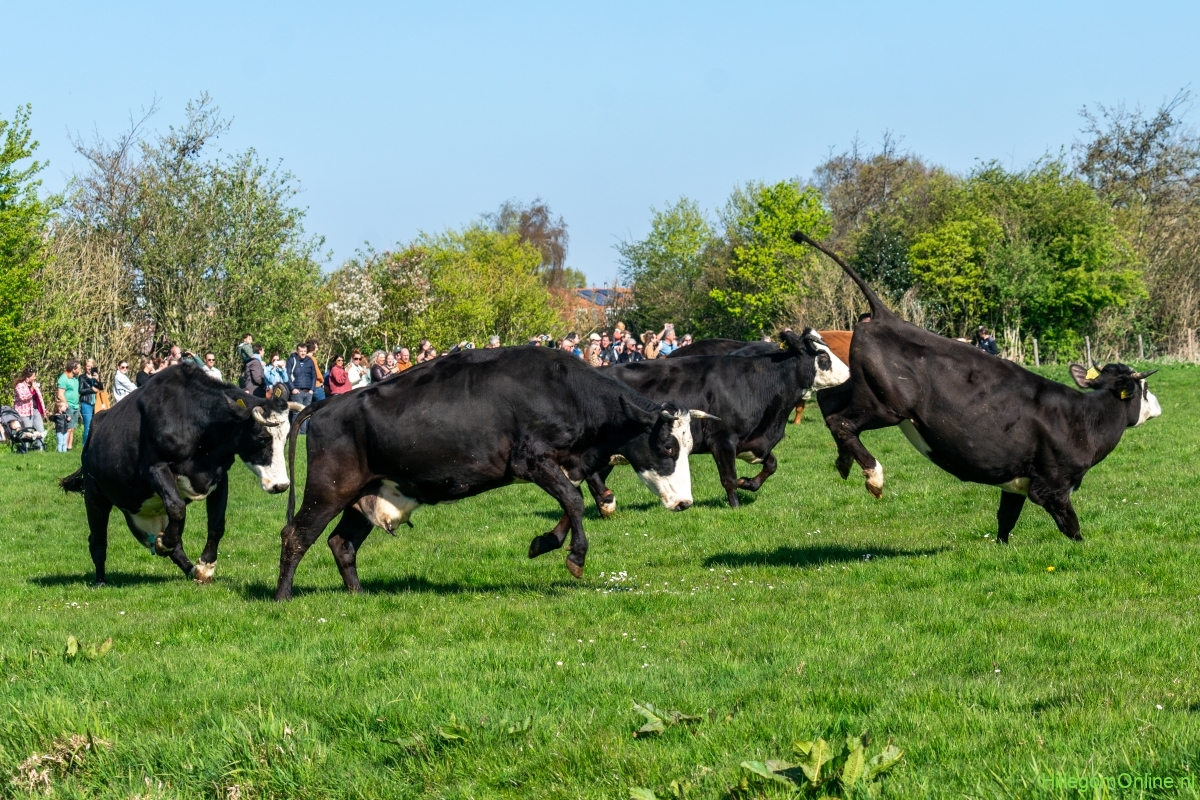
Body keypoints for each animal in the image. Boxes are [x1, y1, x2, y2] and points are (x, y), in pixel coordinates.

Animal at [60, 363, 299, 585]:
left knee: (175, 542)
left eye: (286, 437)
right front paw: (165, 543)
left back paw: (190, 569)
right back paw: (100, 579)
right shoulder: (156, 468)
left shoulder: (220, 475)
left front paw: (205, 566)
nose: (281, 485)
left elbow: (216, 523)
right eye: (262, 437)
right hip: (95, 496)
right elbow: (177, 508)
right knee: (98, 539)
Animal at [273, 346, 714, 601]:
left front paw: (544, 543)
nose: (685, 502)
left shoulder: (562, 465)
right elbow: (574, 502)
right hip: (328, 489)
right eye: (668, 447)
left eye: (688, 444)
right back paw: (282, 598)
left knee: (341, 544)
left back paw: (360, 595)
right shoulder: (531, 461)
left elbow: (572, 504)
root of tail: (325, 406)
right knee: (296, 535)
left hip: (364, 493)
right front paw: (575, 557)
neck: (566, 392)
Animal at [584, 329, 849, 511]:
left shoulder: (753, 442)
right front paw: (736, 506)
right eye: (823, 356)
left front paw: (747, 483)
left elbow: (771, 465)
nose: (849, 372)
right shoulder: (722, 440)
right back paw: (606, 502)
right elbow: (728, 478)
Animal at [792, 230, 1162, 543]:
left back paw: (844, 463)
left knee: (830, 408)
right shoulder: (1052, 486)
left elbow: (1005, 521)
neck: (1086, 419)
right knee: (842, 422)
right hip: (886, 406)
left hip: (850, 383)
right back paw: (874, 476)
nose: (1158, 404)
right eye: (1143, 389)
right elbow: (1071, 527)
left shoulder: (1015, 483)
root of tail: (888, 316)